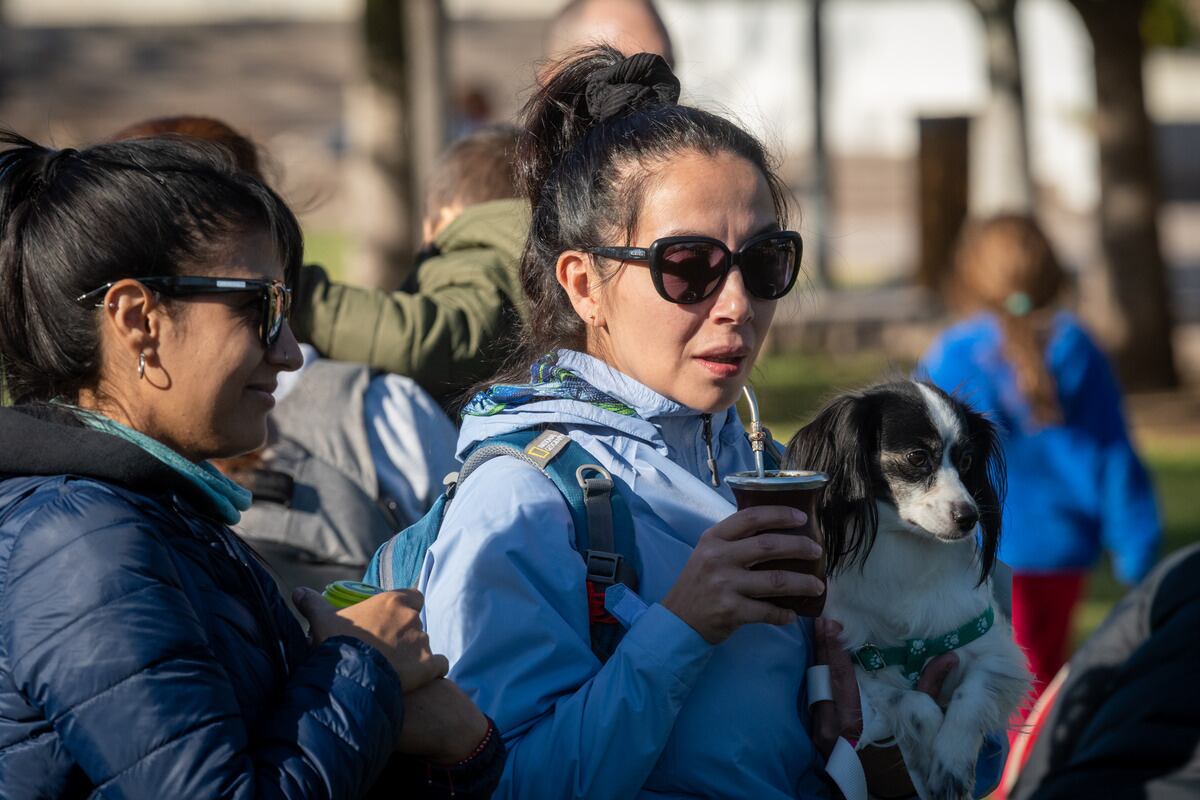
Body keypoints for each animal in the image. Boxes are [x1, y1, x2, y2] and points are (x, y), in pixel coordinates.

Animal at [787, 379, 1032, 796]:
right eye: (918, 457)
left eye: (967, 460)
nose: (970, 517)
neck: (908, 552)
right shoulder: (857, 676)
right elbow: (917, 703)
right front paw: (931, 752)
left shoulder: (997, 655)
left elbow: (968, 700)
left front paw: (951, 763)